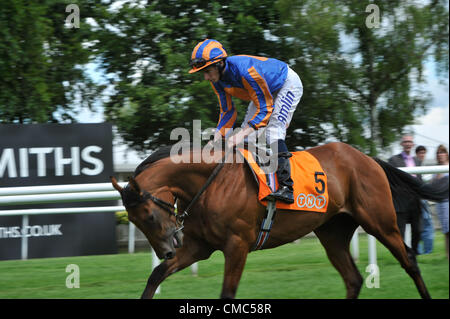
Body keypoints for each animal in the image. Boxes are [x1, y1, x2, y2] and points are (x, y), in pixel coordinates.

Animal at [110, 142, 446, 300]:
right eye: (135, 221)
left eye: (149, 215)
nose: (166, 250)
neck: (209, 182)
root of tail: (368, 158)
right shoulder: (198, 247)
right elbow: (156, 276)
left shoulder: (237, 245)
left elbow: (227, 294)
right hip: (333, 232)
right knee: (353, 278)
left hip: (380, 221)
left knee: (409, 260)